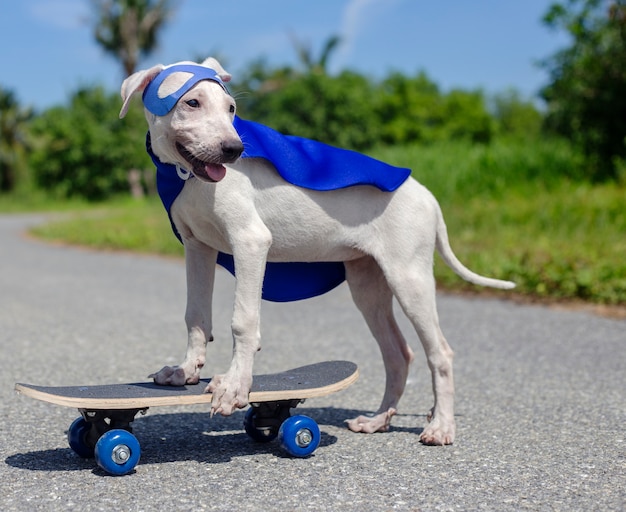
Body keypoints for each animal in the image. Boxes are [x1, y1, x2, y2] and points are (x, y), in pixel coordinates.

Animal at [119, 58, 516, 446]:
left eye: (231, 109)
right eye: (192, 103)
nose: (234, 150)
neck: (187, 178)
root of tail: (428, 196)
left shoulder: (250, 242)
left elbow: (243, 321)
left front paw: (234, 388)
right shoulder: (197, 248)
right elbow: (196, 316)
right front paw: (185, 371)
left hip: (410, 278)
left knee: (440, 353)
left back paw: (441, 427)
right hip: (368, 285)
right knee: (399, 354)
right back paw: (378, 421)